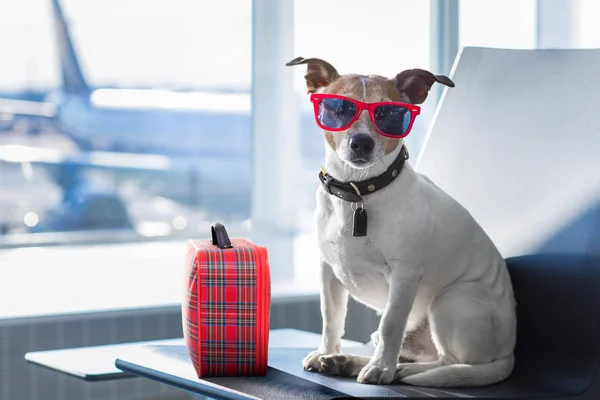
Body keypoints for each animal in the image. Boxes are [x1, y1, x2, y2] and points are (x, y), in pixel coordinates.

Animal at [284, 57, 516, 388]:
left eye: (390, 113)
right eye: (338, 108)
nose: (361, 143)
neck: (358, 193)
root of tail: (508, 352)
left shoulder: (404, 276)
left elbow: (391, 323)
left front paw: (381, 369)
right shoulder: (327, 272)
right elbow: (331, 319)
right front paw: (326, 351)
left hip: (450, 300)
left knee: (446, 361)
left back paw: (397, 371)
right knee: (404, 349)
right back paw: (347, 361)